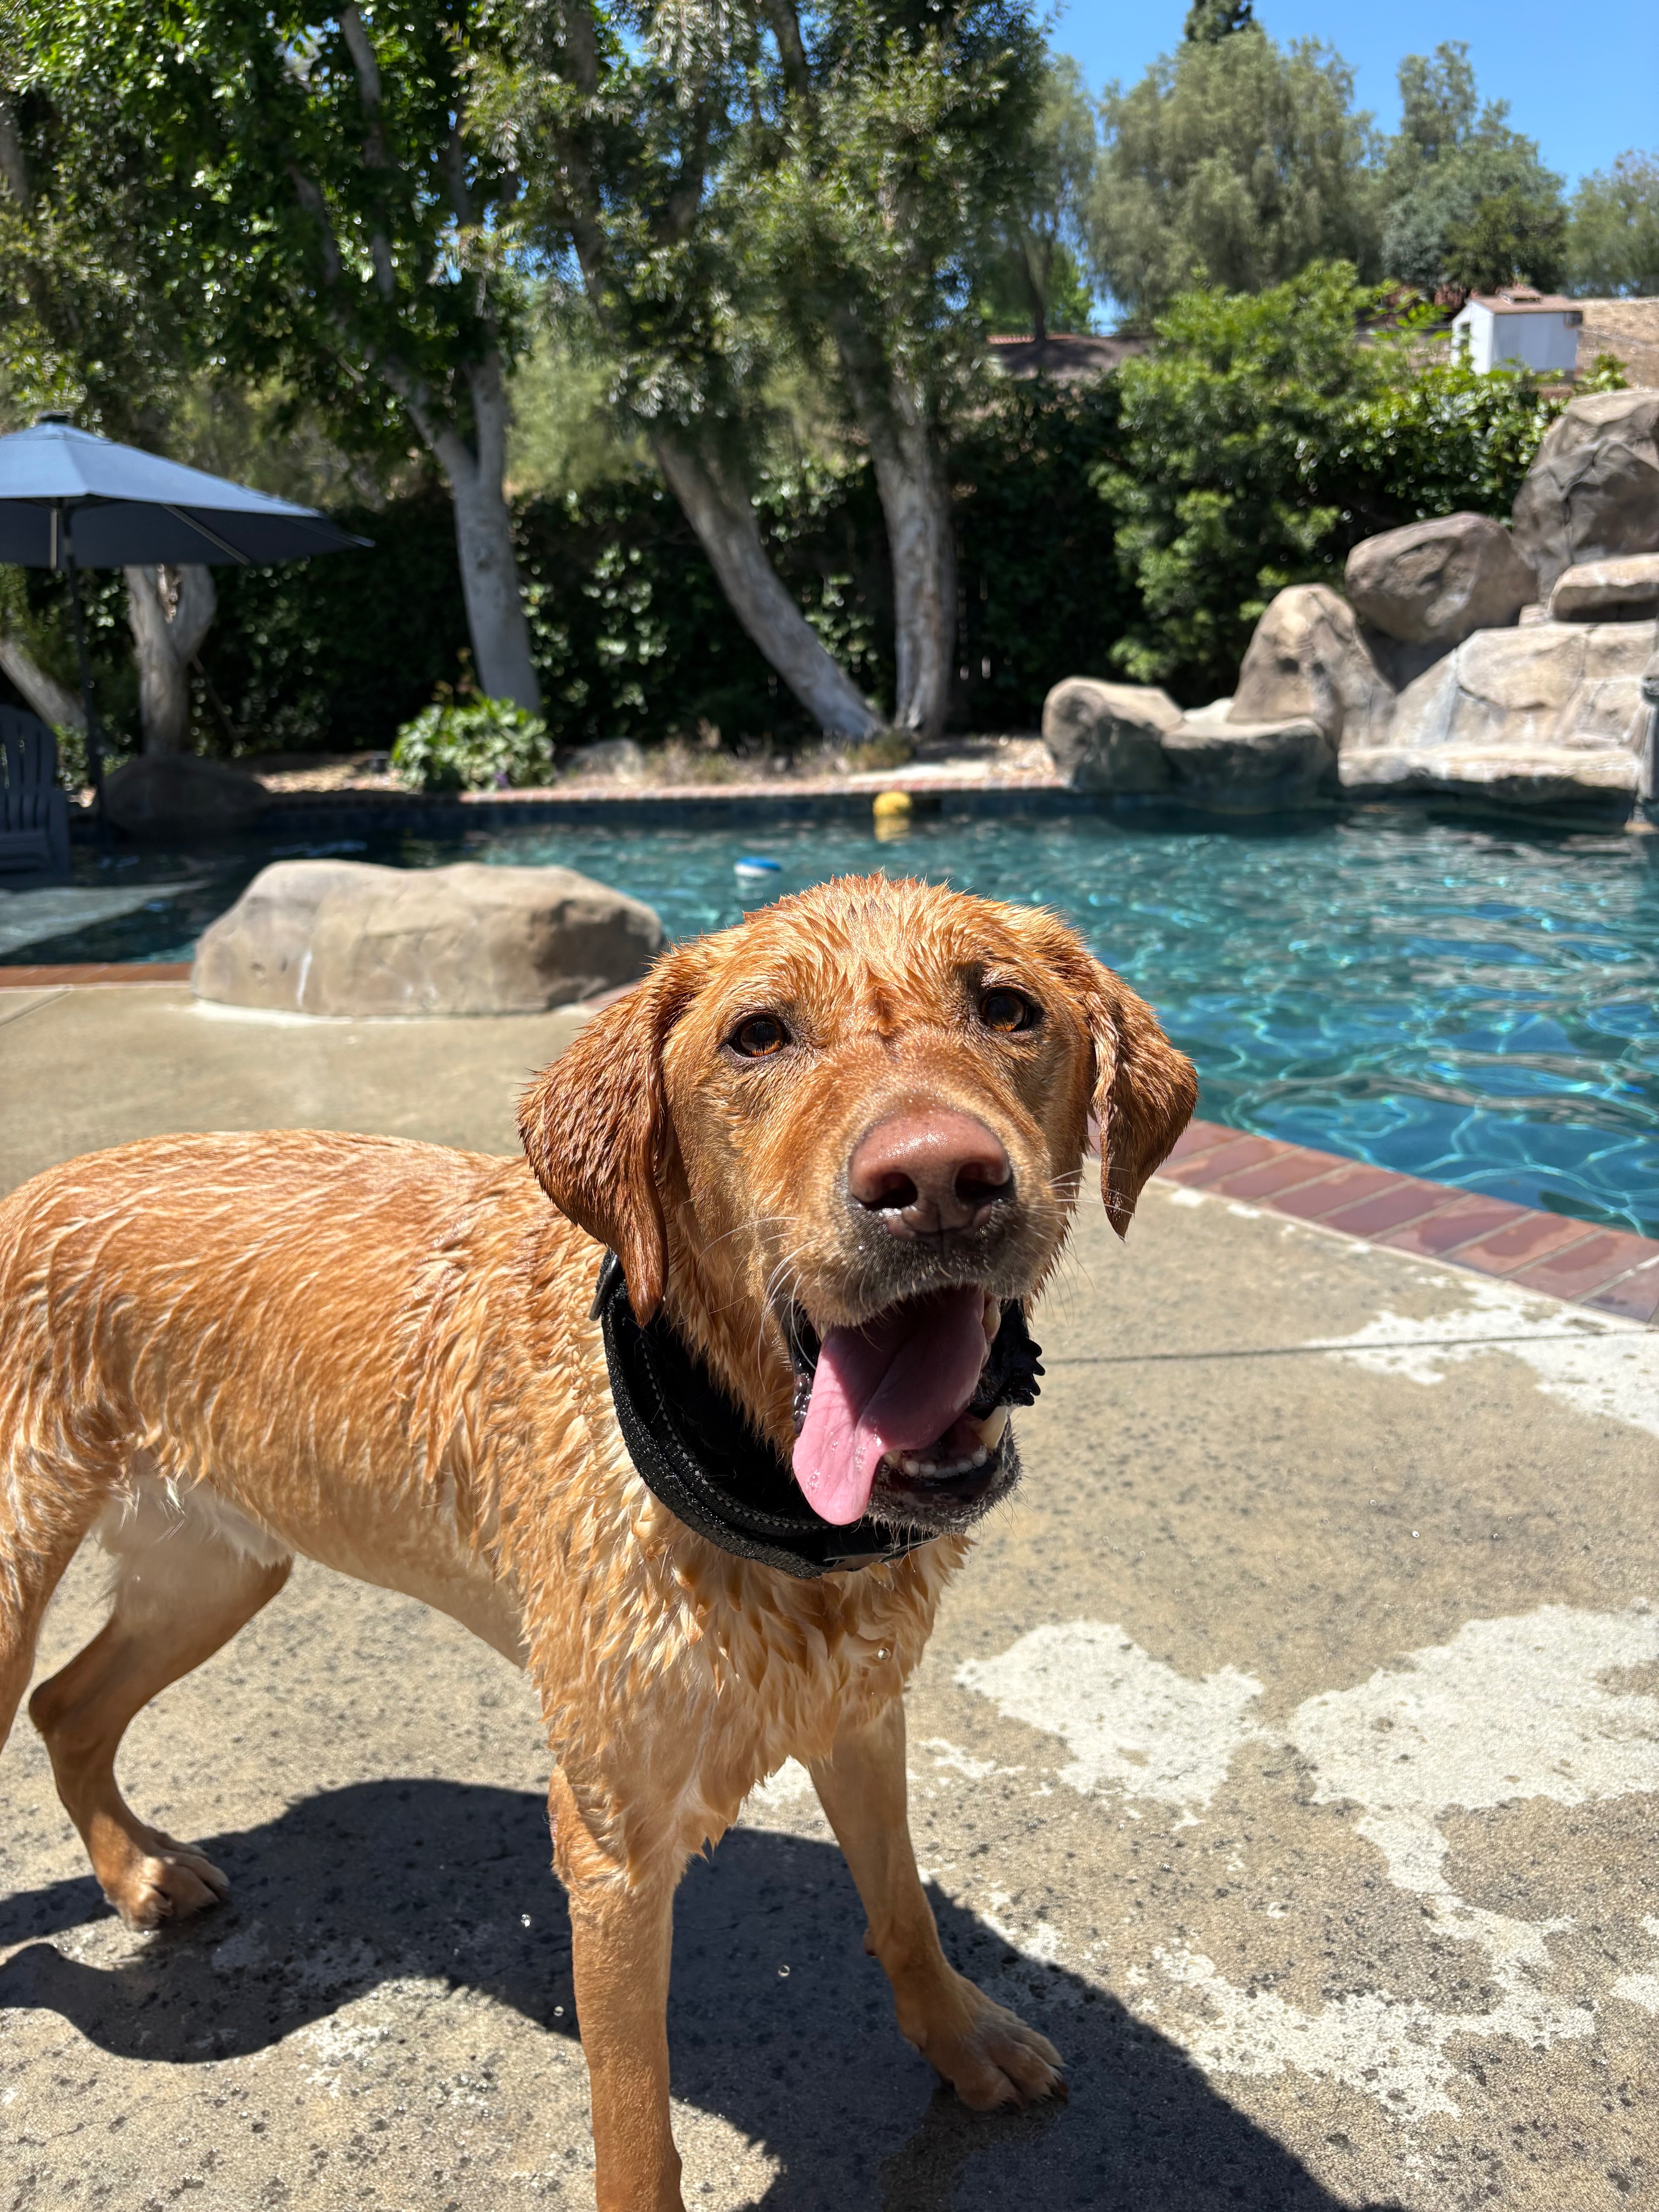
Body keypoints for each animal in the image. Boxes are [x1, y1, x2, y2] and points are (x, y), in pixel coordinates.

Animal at [0, 872, 1195, 2211]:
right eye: (758, 1036)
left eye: (1008, 1007)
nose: (939, 1179)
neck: (754, 1480)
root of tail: (27, 1192)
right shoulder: (613, 1844)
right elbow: (634, 2120)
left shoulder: (858, 1710)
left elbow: (902, 1907)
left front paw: (958, 2036)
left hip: (217, 1569)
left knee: (70, 1704)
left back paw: (134, 1869)